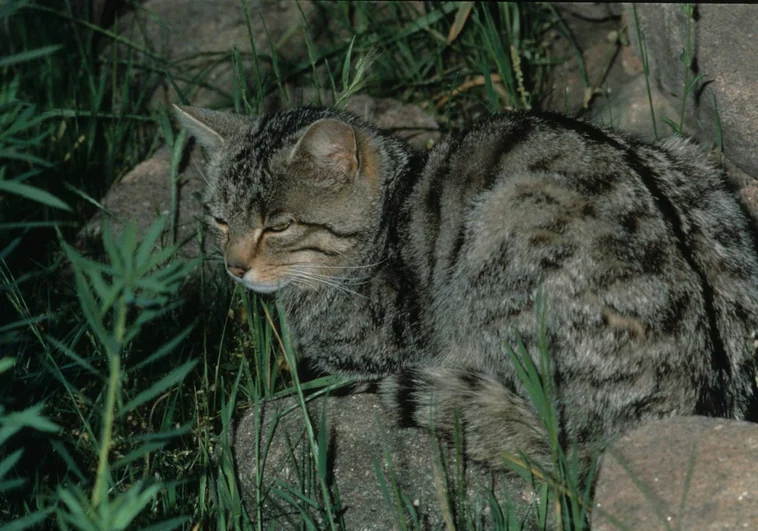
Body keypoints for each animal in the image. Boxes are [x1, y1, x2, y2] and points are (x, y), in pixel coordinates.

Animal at [172, 104, 758, 478]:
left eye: (278, 225)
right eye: (219, 220)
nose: (234, 268)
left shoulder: (377, 351)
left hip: (509, 226)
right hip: (688, 161)